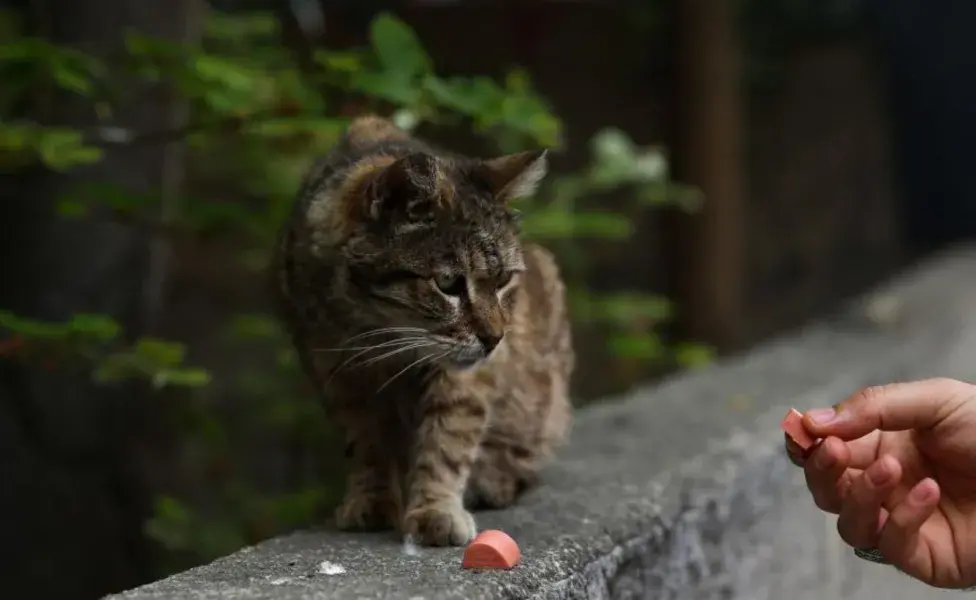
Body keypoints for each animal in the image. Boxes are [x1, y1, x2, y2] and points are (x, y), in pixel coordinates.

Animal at [270, 115, 576, 548]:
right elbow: (365, 441)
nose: (494, 339)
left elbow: (448, 436)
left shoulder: (462, 374)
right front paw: (371, 500)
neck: (377, 328)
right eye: (448, 283)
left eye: (503, 281)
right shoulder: (334, 368)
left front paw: (436, 510)